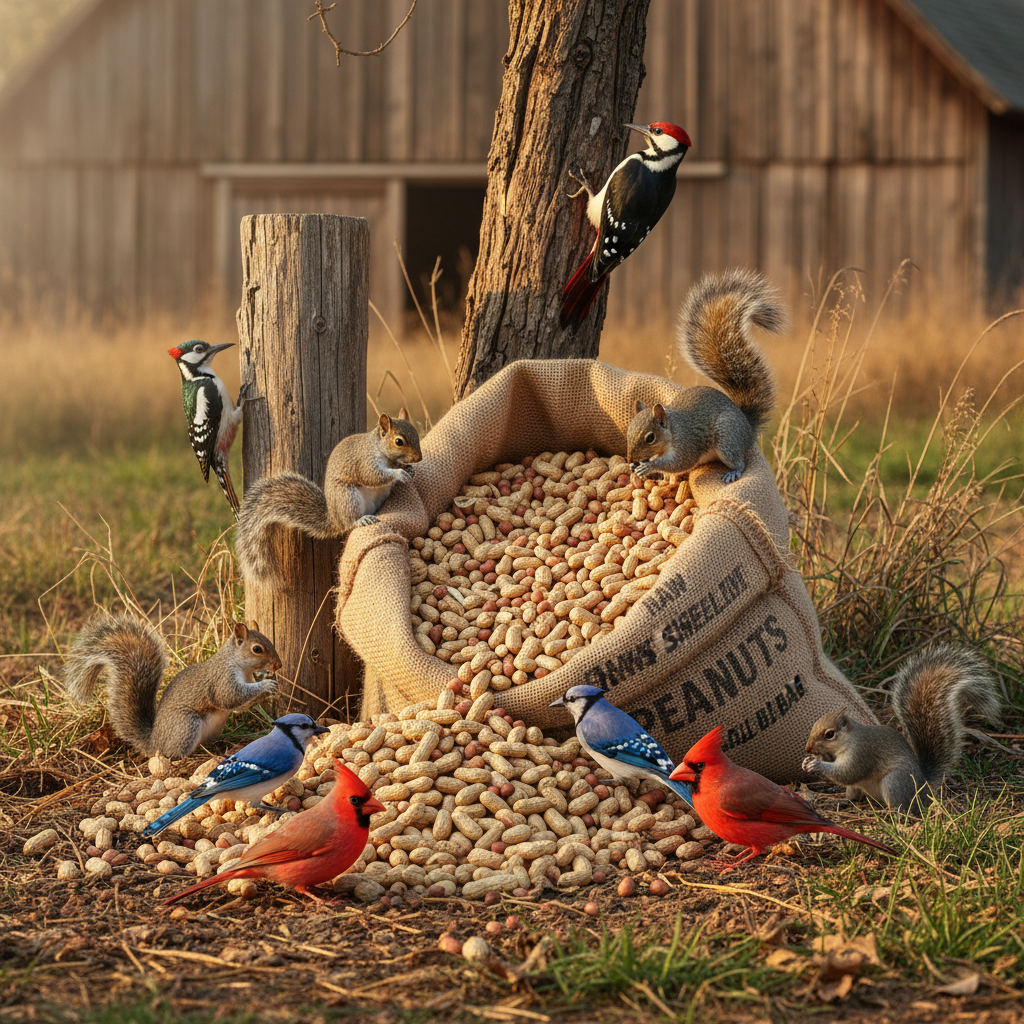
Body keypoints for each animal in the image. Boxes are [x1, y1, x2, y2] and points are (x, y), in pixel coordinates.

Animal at [64, 613, 282, 760]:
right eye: (257, 649)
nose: (278, 665)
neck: (238, 665)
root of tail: (154, 742)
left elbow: (239, 707)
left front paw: (268, 684)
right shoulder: (222, 680)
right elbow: (230, 698)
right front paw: (266, 684)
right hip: (185, 725)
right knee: (173, 754)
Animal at [235, 409, 422, 591]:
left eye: (416, 432)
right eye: (399, 441)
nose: (418, 458)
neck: (383, 452)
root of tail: (334, 519)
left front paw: (409, 469)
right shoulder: (364, 462)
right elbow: (374, 476)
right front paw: (399, 473)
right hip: (348, 498)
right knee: (349, 523)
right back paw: (362, 520)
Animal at [626, 268, 787, 484]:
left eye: (650, 437)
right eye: (628, 430)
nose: (630, 459)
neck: (673, 431)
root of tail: (747, 426)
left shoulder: (687, 445)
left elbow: (678, 463)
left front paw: (650, 466)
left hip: (727, 439)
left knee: (738, 461)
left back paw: (733, 472)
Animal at [801, 645, 1003, 814]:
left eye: (829, 734)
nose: (808, 748)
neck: (849, 740)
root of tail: (922, 787)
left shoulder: (862, 753)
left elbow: (847, 773)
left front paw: (816, 764)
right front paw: (808, 760)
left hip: (894, 782)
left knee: (902, 808)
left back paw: (888, 813)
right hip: (859, 788)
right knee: (855, 797)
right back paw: (840, 801)